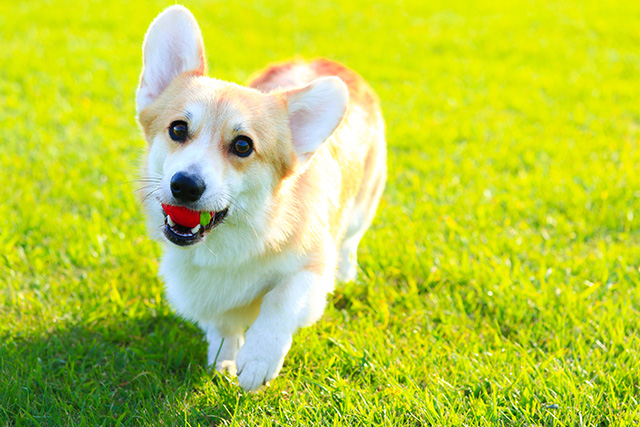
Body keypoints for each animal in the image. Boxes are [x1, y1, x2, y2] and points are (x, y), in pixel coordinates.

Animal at [136, 5, 384, 392]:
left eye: (242, 145)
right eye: (178, 129)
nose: (185, 185)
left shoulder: (313, 271)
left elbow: (281, 298)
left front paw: (257, 359)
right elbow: (223, 326)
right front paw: (223, 360)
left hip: (364, 205)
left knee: (350, 243)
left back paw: (347, 273)